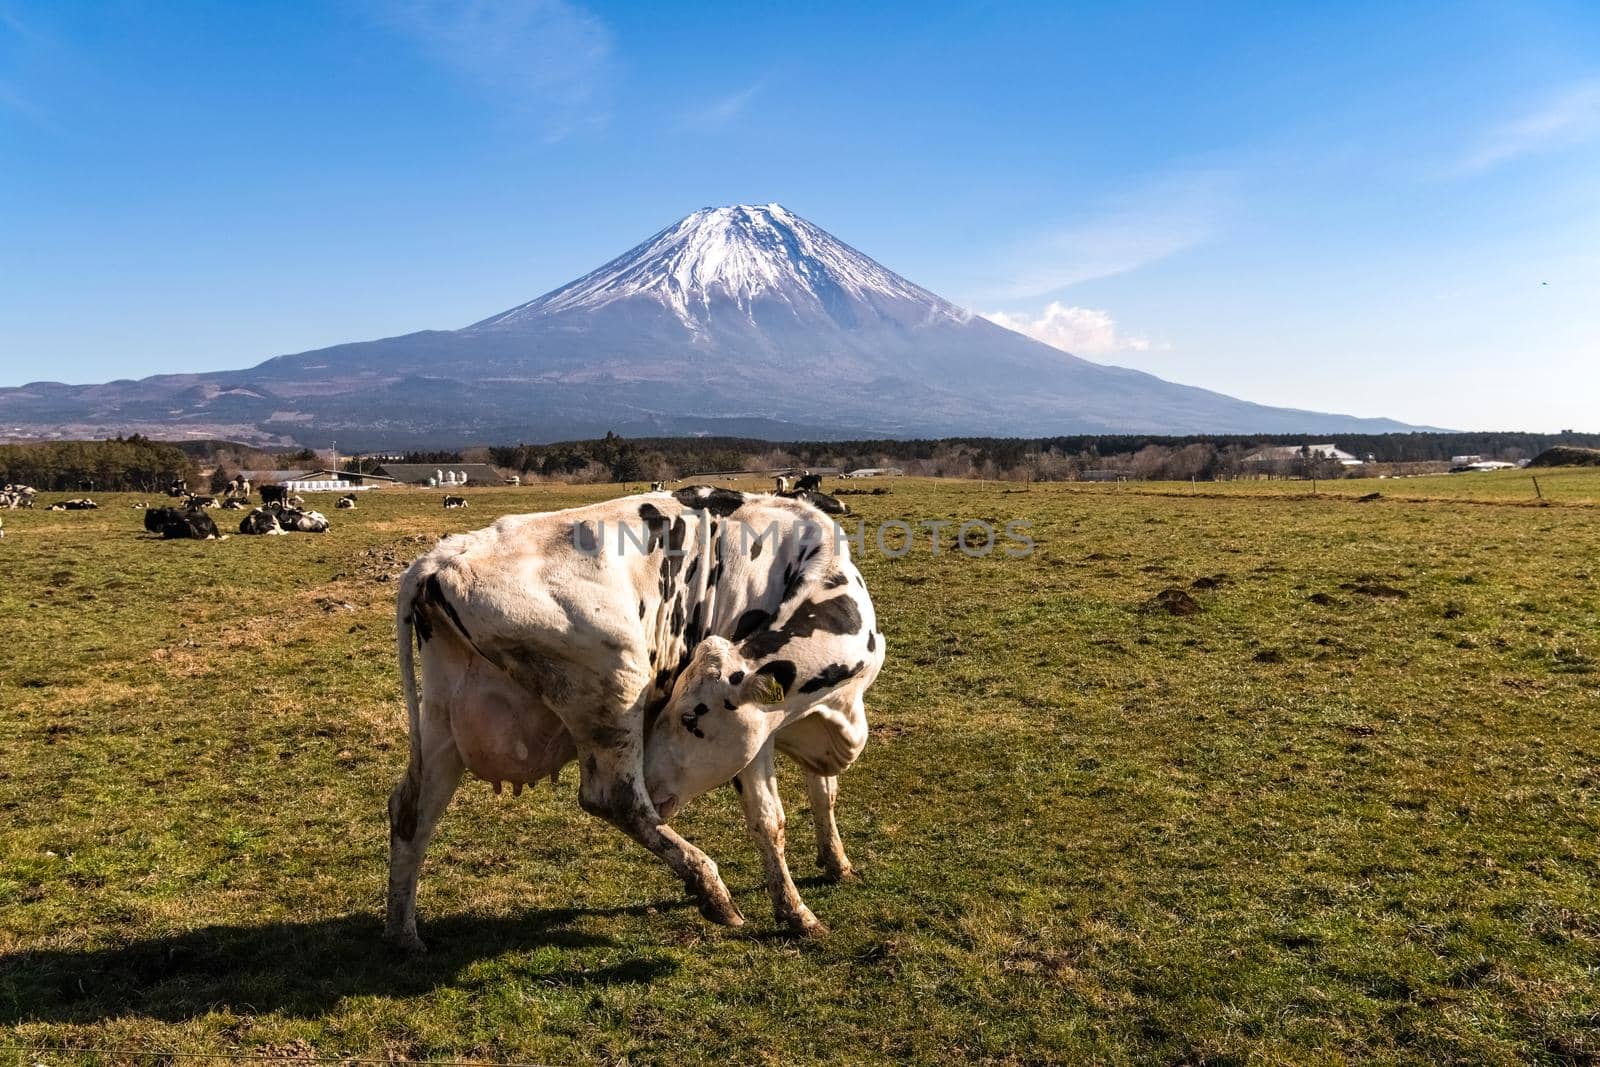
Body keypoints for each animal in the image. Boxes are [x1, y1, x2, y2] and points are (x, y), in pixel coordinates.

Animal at [387, 483, 889, 953]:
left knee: (412, 810)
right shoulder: (756, 738)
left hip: (442, 726)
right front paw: (797, 913)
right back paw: (711, 889)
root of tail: (445, 555)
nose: (654, 777)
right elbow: (769, 820)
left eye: (688, 717)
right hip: (619, 683)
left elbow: (824, 793)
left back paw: (404, 935)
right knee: (615, 799)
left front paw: (836, 862)